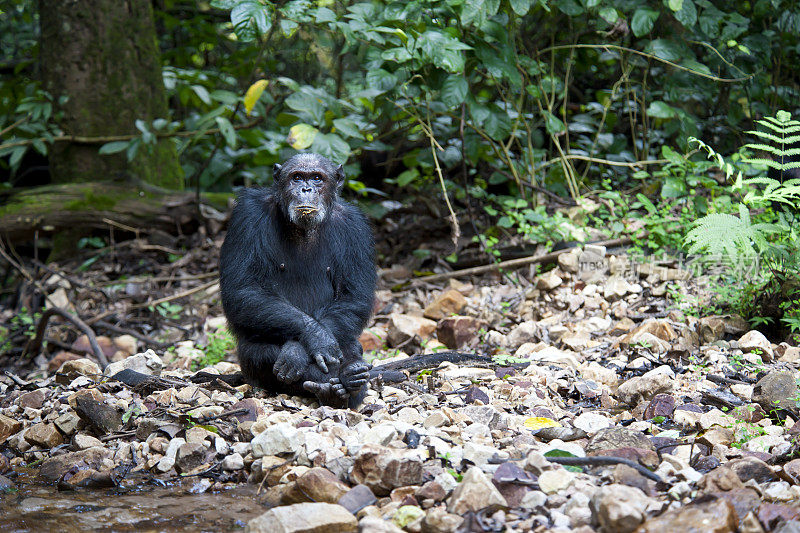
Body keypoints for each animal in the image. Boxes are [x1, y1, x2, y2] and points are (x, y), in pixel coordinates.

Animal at [220, 154, 376, 408]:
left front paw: (301, 349)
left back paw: (350, 379)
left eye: (317, 178)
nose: (306, 189)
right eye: (297, 177)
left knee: (351, 344)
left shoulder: (357, 228)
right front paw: (314, 339)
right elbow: (244, 289)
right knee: (258, 353)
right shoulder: (247, 216)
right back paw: (335, 385)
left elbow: (354, 297)